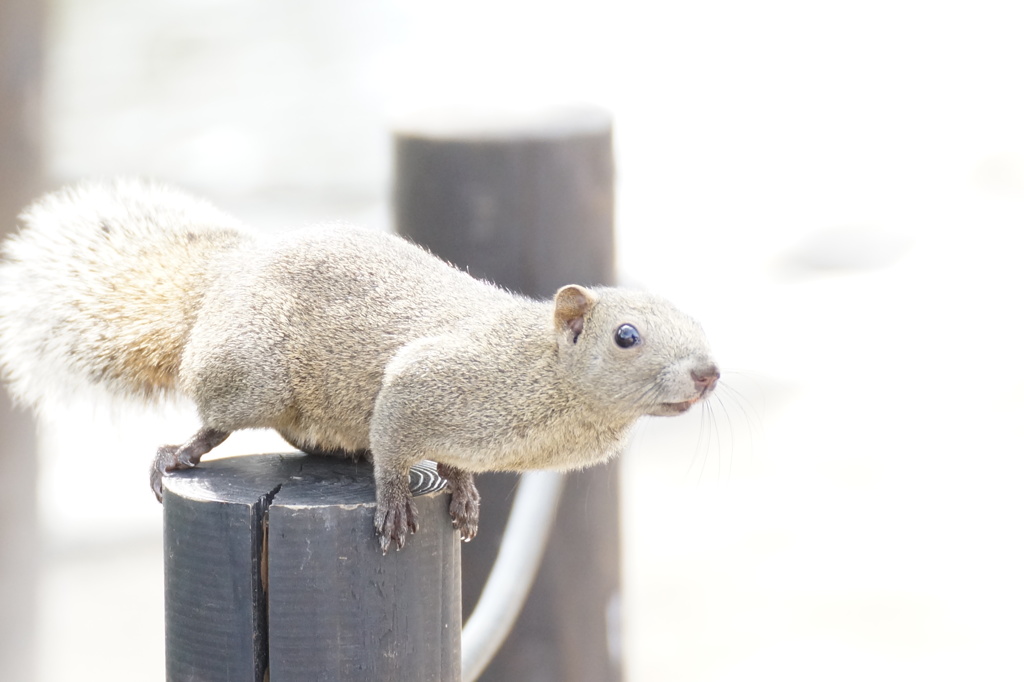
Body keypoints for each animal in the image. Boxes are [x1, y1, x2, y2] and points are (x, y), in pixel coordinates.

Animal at [0, 178, 720, 548]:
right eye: (626, 336)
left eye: (702, 326)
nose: (708, 373)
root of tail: (225, 280)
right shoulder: (423, 379)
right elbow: (396, 440)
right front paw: (397, 501)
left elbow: (447, 460)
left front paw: (464, 495)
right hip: (251, 374)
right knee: (218, 419)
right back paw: (180, 452)